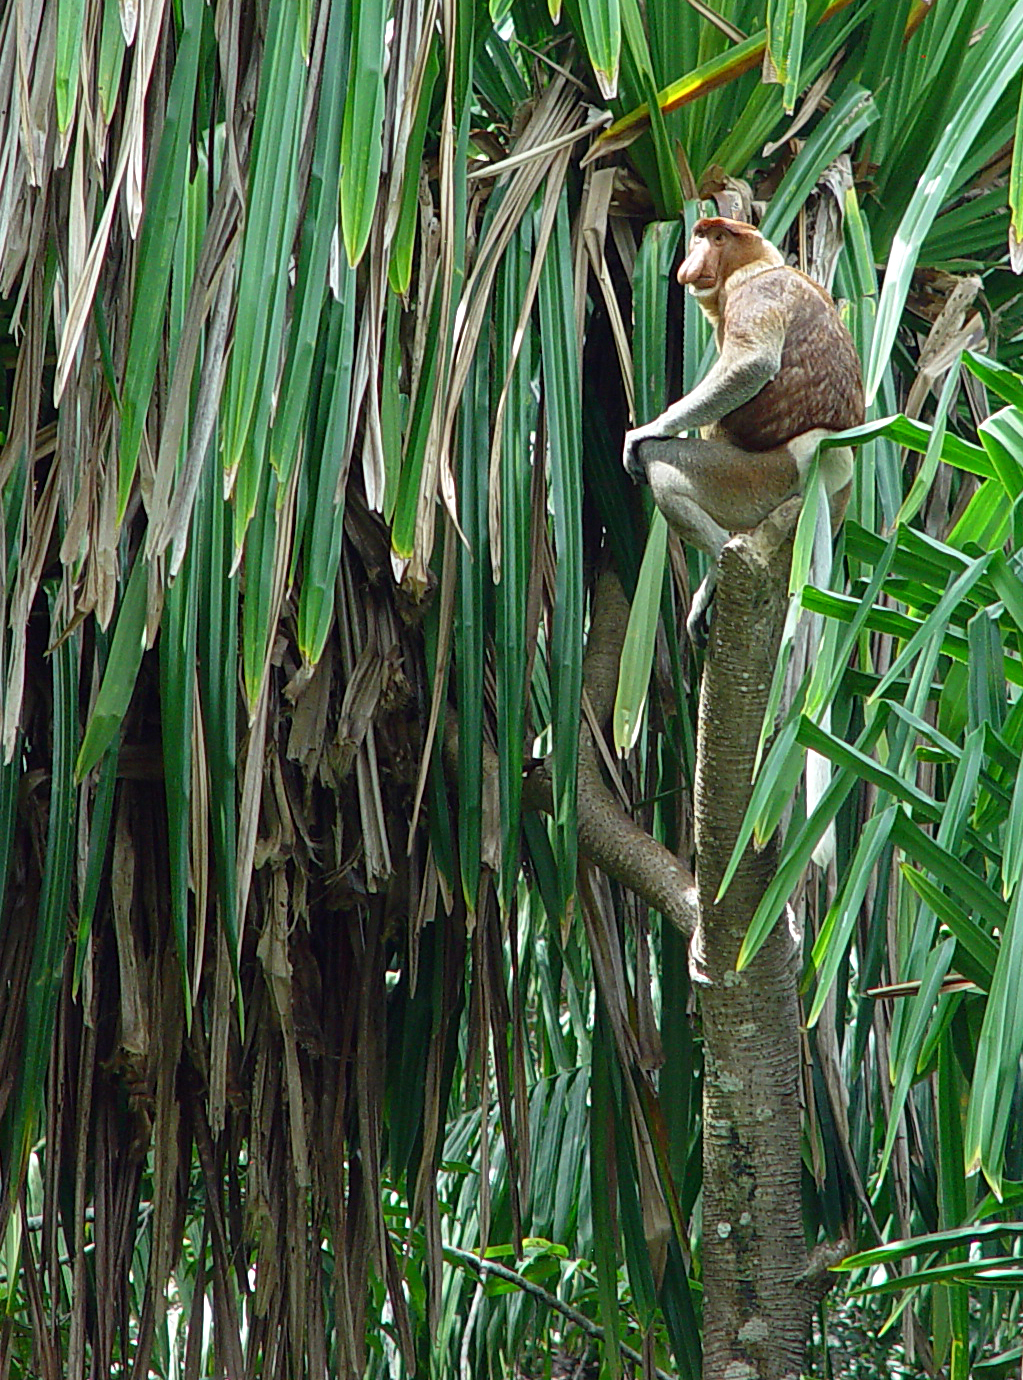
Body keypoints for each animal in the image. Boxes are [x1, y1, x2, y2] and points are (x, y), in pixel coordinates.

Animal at [623, 216, 864, 866]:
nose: (691, 259)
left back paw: (710, 579)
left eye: (716, 236)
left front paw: (645, 431)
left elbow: (751, 364)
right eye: (699, 235)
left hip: (755, 477)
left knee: (668, 472)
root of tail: (825, 455)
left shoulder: (756, 293)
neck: (763, 261)